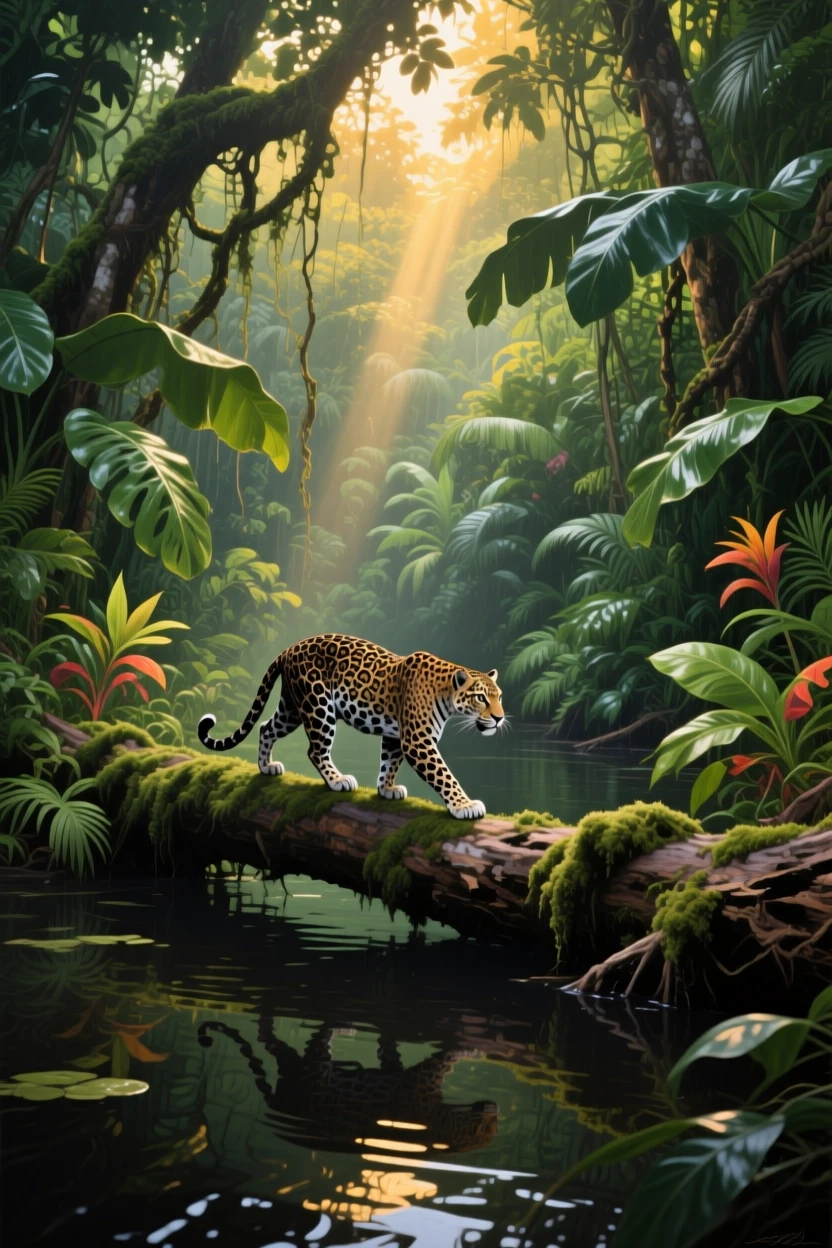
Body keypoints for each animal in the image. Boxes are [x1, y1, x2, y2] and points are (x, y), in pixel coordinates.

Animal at [197, 632, 505, 819]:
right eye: (480, 698)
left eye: (499, 697)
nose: (500, 718)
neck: (446, 693)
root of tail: (289, 648)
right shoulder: (418, 741)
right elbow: (444, 775)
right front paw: (465, 805)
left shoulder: (395, 735)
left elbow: (389, 762)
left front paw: (387, 789)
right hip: (319, 706)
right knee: (315, 750)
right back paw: (338, 780)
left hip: (292, 707)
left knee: (266, 727)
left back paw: (266, 767)